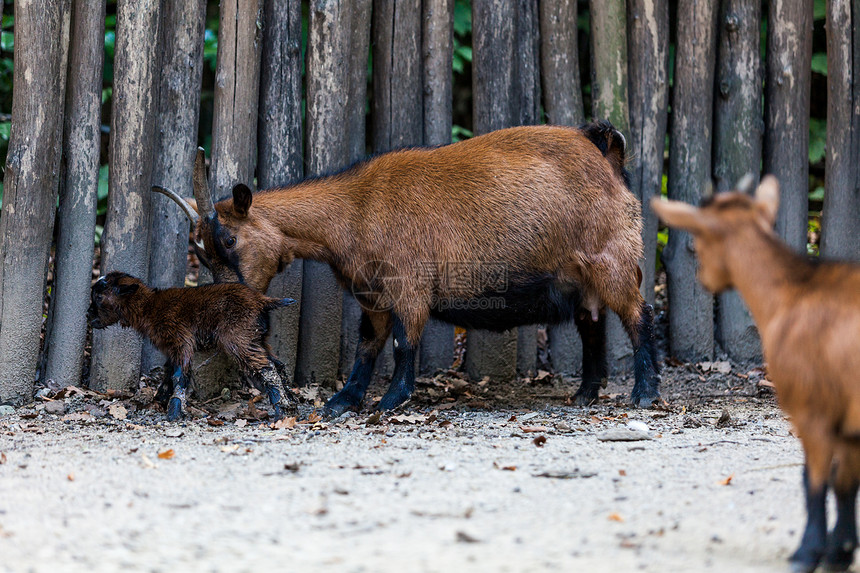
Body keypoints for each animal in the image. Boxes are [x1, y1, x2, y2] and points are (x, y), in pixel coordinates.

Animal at [87, 268, 296, 420]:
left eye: (99, 297)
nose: (88, 315)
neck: (149, 308)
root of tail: (262, 300)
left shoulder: (181, 338)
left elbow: (180, 375)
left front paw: (173, 412)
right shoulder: (171, 347)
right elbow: (169, 373)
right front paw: (159, 401)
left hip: (238, 337)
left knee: (265, 366)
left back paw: (279, 411)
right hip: (258, 337)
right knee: (278, 364)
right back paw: (291, 403)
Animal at [155, 122, 660, 416]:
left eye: (227, 240)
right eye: (199, 253)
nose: (228, 302)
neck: (357, 208)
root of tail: (607, 157)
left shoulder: (409, 287)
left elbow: (403, 343)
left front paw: (391, 401)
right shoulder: (372, 294)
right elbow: (367, 346)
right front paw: (342, 402)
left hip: (612, 258)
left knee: (639, 316)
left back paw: (645, 393)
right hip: (577, 277)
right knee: (592, 324)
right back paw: (585, 395)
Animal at [652, 177, 860, 568]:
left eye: (696, 244)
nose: (703, 279)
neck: (793, 291)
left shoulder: (812, 411)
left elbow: (814, 482)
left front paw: (808, 554)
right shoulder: (846, 423)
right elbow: (844, 485)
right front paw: (839, 553)